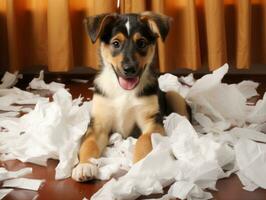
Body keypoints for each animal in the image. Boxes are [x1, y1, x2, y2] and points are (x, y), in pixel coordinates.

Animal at [70, 11, 188, 182]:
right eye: (116, 43)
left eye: (141, 43)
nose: (129, 69)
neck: (123, 92)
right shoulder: (99, 124)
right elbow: (89, 144)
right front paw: (85, 165)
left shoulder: (151, 121)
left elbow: (144, 141)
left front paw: (140, 168)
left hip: (174, 96)